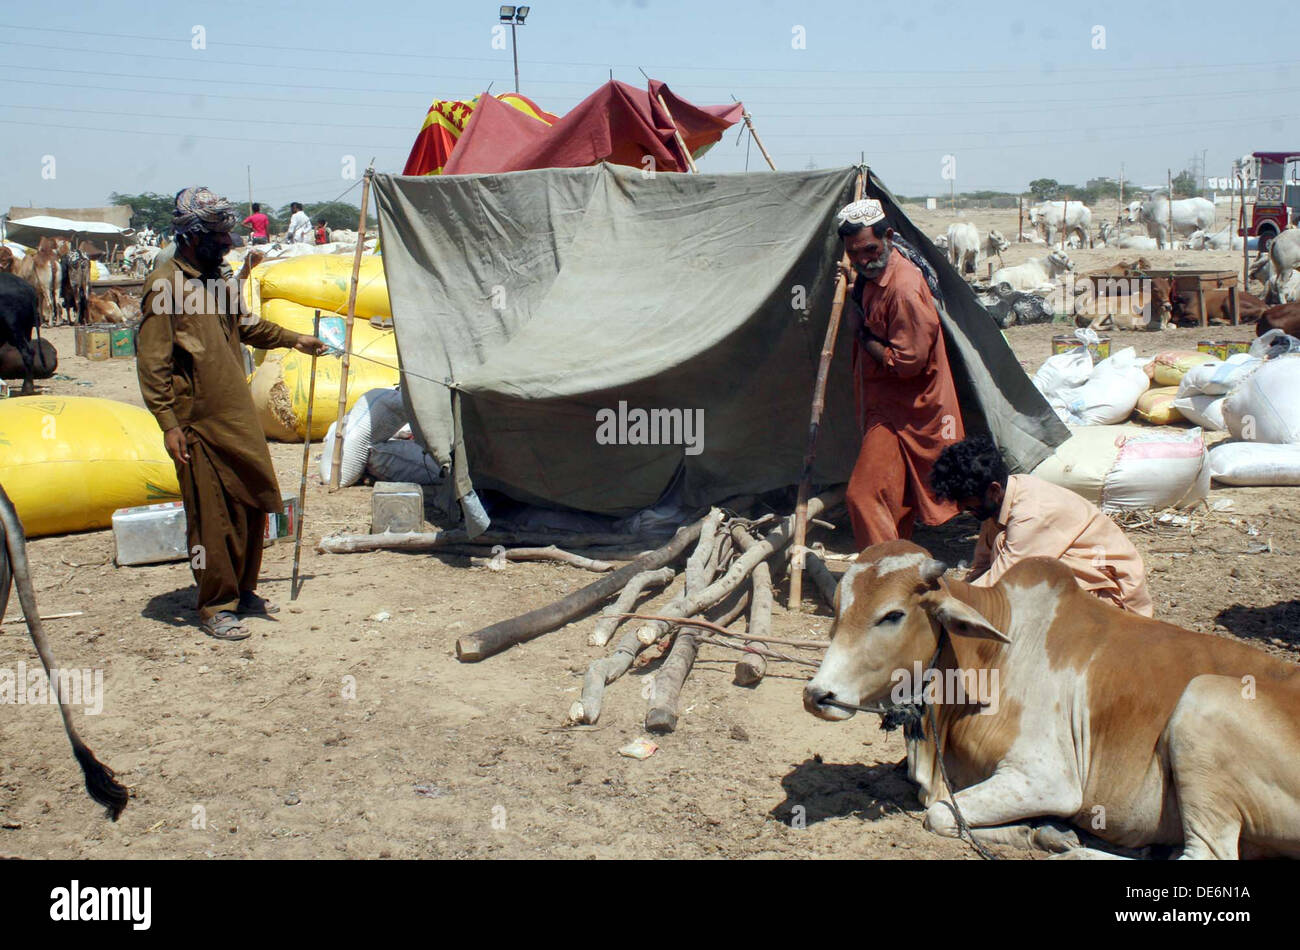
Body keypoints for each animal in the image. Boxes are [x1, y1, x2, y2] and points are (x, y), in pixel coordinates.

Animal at [800, 543, 1300, 862]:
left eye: (892, 615)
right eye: (838, 609)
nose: (818, 694)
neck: (992, 655)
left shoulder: (1047, 779)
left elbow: (939, 813)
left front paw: (1040, 831)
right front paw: (1041, 832)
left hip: (1201, 703)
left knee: (1205, 856)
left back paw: (1073, 850)